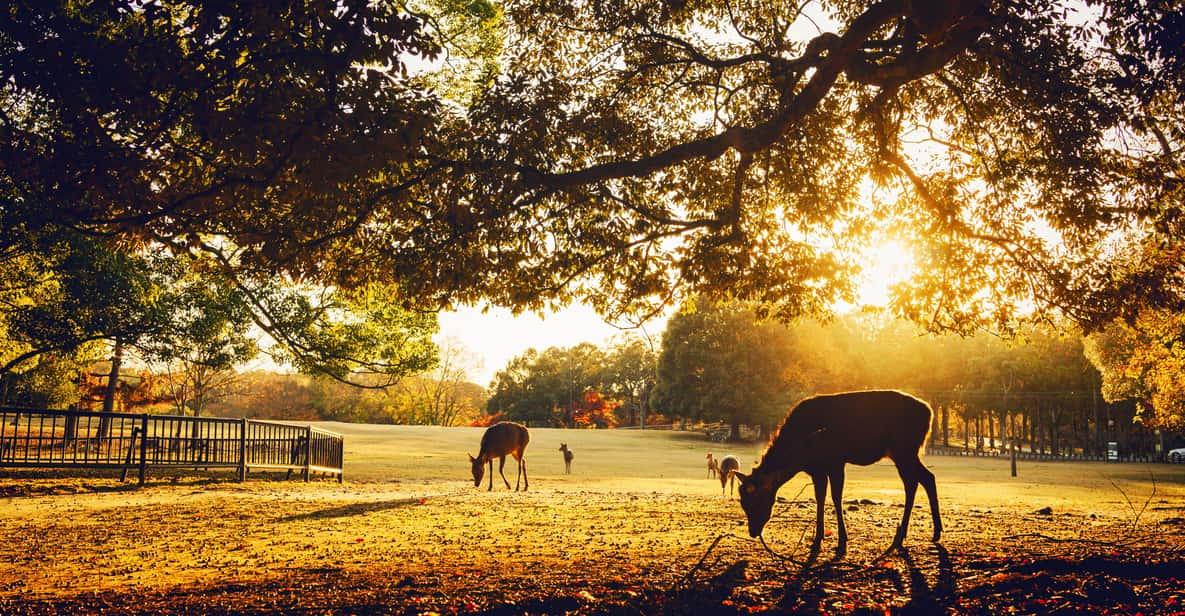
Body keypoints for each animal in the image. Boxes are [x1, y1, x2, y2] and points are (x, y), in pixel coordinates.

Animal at [729, 393, 943, 556]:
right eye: (742, 503)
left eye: (755, 501)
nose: (753, 531)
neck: (802, 453)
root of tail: (930, 412)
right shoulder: (817, 469)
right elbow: (820, 497)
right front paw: (817, 539)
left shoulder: (835, 460)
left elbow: (836, 497)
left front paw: (842, 542)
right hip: (905, 453)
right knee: (926, 478)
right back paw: (932, 532)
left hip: (904, 450)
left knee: (914, 482)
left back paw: (903, 537)